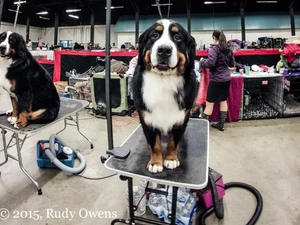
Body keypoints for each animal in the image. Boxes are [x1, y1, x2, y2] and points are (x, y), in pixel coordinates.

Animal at [133, 19, 198, 174]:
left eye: (177, 37)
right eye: (155, 35)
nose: (164, 50)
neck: (164, 80)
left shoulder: (181, 118)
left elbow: (173, 142)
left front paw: (171, 159)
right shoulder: (147, 119)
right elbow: (154, 144)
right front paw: (156, 162)